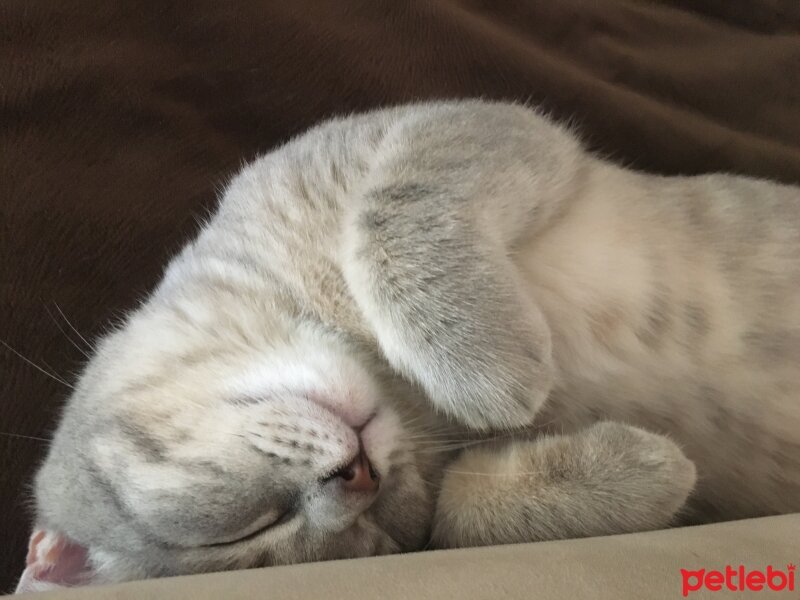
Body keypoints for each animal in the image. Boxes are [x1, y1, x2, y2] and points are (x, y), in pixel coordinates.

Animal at [14, 98, 800, 592]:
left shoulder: (464, 130)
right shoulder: (432, 502)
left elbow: (390, 217)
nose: (354, 477)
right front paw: (653, 469)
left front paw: (485, 369)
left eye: (234, 533)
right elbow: (459, 512)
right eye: (358, 541)